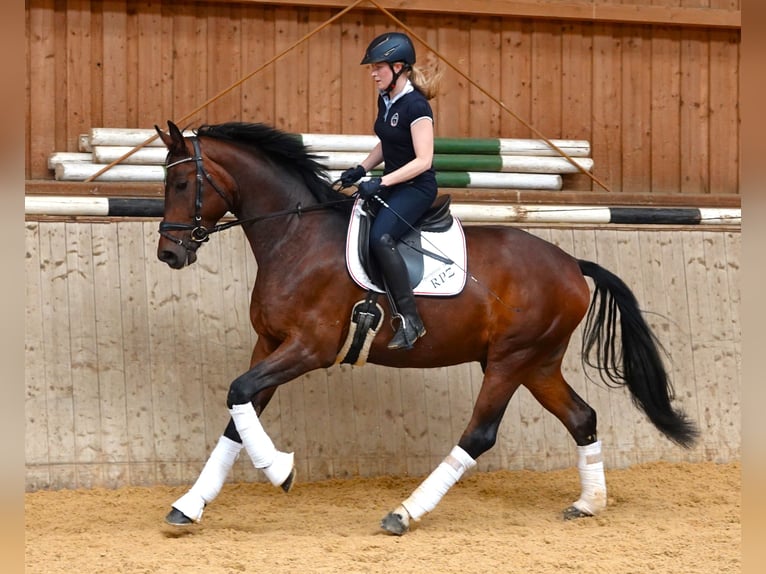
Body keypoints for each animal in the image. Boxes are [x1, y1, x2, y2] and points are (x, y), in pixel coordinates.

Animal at [153, 119, 700, 536]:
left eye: (180, 185)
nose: (169, 255)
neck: (295, 234)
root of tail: (571, 263)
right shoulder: (268, 343)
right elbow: (238, 411)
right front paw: (190, 505)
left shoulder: (309, 348)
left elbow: (238, 392)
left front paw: (280, 470)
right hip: (538, 363)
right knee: (582, 417)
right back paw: (589, 503)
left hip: (511, 360)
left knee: (479, 434)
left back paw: (404, 512)